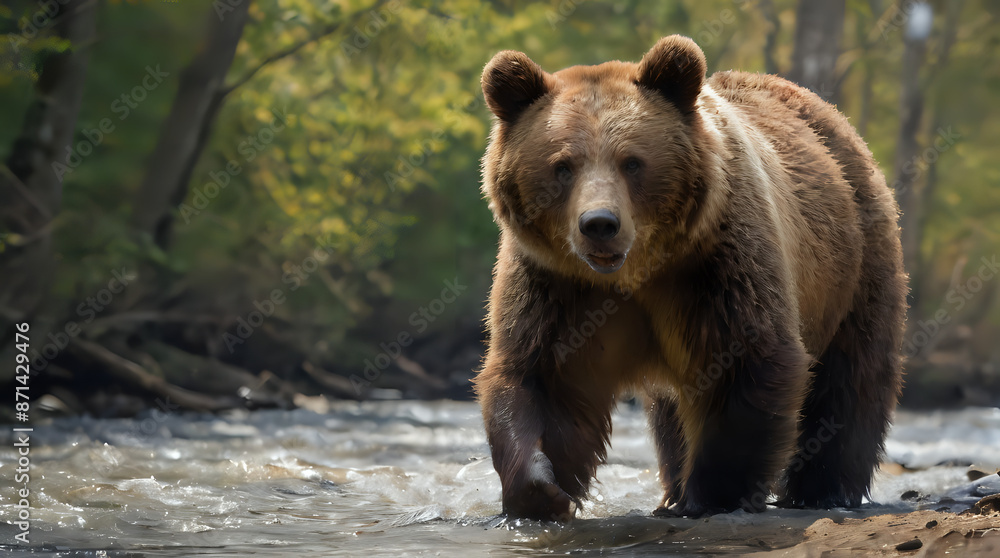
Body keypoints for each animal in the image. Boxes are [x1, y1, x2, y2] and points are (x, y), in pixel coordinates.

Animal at [473, 35, 907, 521]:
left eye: (632, 162)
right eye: (563, 165)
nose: (599, 223)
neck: (635, 272)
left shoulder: (715, 267)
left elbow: (744, 361)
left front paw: (711, 496)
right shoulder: (557, 286)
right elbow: (545, 378)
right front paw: (541, 491)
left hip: (853, 263)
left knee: (851, 375)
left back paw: (824, 489)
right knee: (671, 414)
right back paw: (672, 489)